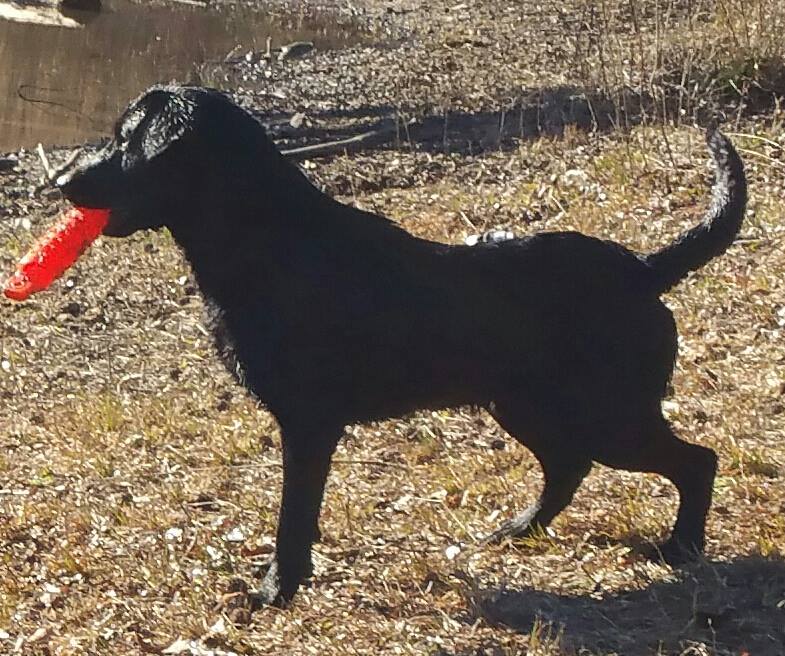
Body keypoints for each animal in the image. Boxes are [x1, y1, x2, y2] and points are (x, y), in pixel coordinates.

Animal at [56, 84, 748, 608]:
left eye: (125, 139)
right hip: (530, 408)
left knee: (696, 460)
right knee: (568, 467)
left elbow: (293, 518)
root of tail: (643, 270)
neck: (273, 240)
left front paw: (275, 590)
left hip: (608, 416)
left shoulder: (309, 423)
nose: (59, 180)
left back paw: (682, 549)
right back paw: (517, 530)